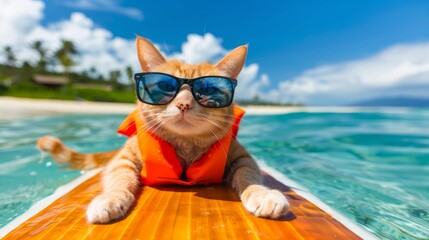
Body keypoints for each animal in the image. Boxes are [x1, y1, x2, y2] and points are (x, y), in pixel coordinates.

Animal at [37, 36, 290, 224]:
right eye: (164, 86)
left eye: (208, 90)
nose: (184, 104)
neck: (186, 147)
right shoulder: (124, 158)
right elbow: (120, 178)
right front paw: (110, 199)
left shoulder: (243, 158)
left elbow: (248, 176)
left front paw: (262, 193)